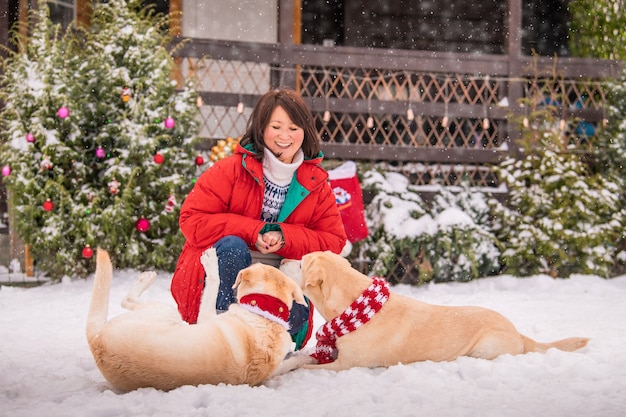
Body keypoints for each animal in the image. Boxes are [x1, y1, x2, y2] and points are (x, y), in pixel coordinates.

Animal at [86, 247, 308, 390]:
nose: (284, 260)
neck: (266, 314)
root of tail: (96, 343)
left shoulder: (206, 316)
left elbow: (213, 283)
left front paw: (211, 262)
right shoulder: (274, 369)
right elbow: (292, 363)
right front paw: (306, 358)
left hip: (166, 313)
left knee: (127, 300)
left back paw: (146, 278)